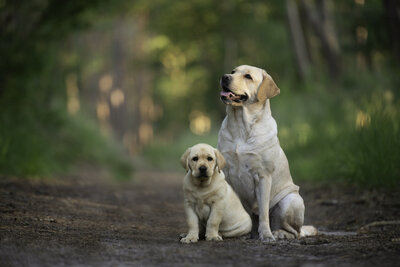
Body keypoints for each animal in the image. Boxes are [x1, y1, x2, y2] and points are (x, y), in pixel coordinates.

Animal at [217, 65, 318, 243]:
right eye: (233, 71)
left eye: (248, 76)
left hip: (290, 201)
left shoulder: (263, 176)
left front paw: (266, 234)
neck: (240, 126)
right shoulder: (227, 176)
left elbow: (263, 211)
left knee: (294, 232)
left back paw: (277, 233)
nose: (225, 77)